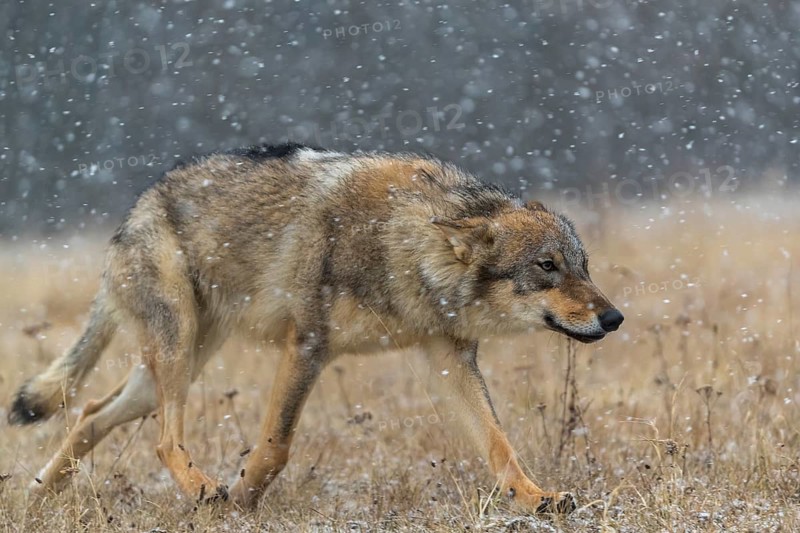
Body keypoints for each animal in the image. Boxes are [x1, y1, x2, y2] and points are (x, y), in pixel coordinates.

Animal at [8, 143, 623, 513]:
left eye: (583, 266)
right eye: (547, 267)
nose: (615, 318)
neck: (399, 244)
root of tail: (137, 206)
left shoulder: (447, 358)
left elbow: (500, 444)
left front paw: (538, 498)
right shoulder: (307, 344)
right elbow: (275, 446)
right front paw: (241, 499)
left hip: (173, 365)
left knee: (90, 412)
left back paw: (34, 498)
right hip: (177, 352)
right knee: (162, 438)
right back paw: (202, 487)